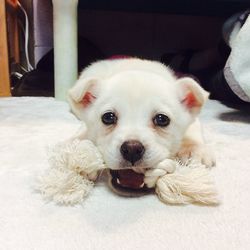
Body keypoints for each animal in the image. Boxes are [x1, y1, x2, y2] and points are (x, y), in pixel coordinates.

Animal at [68, 58, 215, 190]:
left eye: (162, 119)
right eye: (108, 117)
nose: (132, 150)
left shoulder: (194, 120)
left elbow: (193, 129)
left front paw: (194, 150)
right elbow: (82, 134)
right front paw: (80, 152)